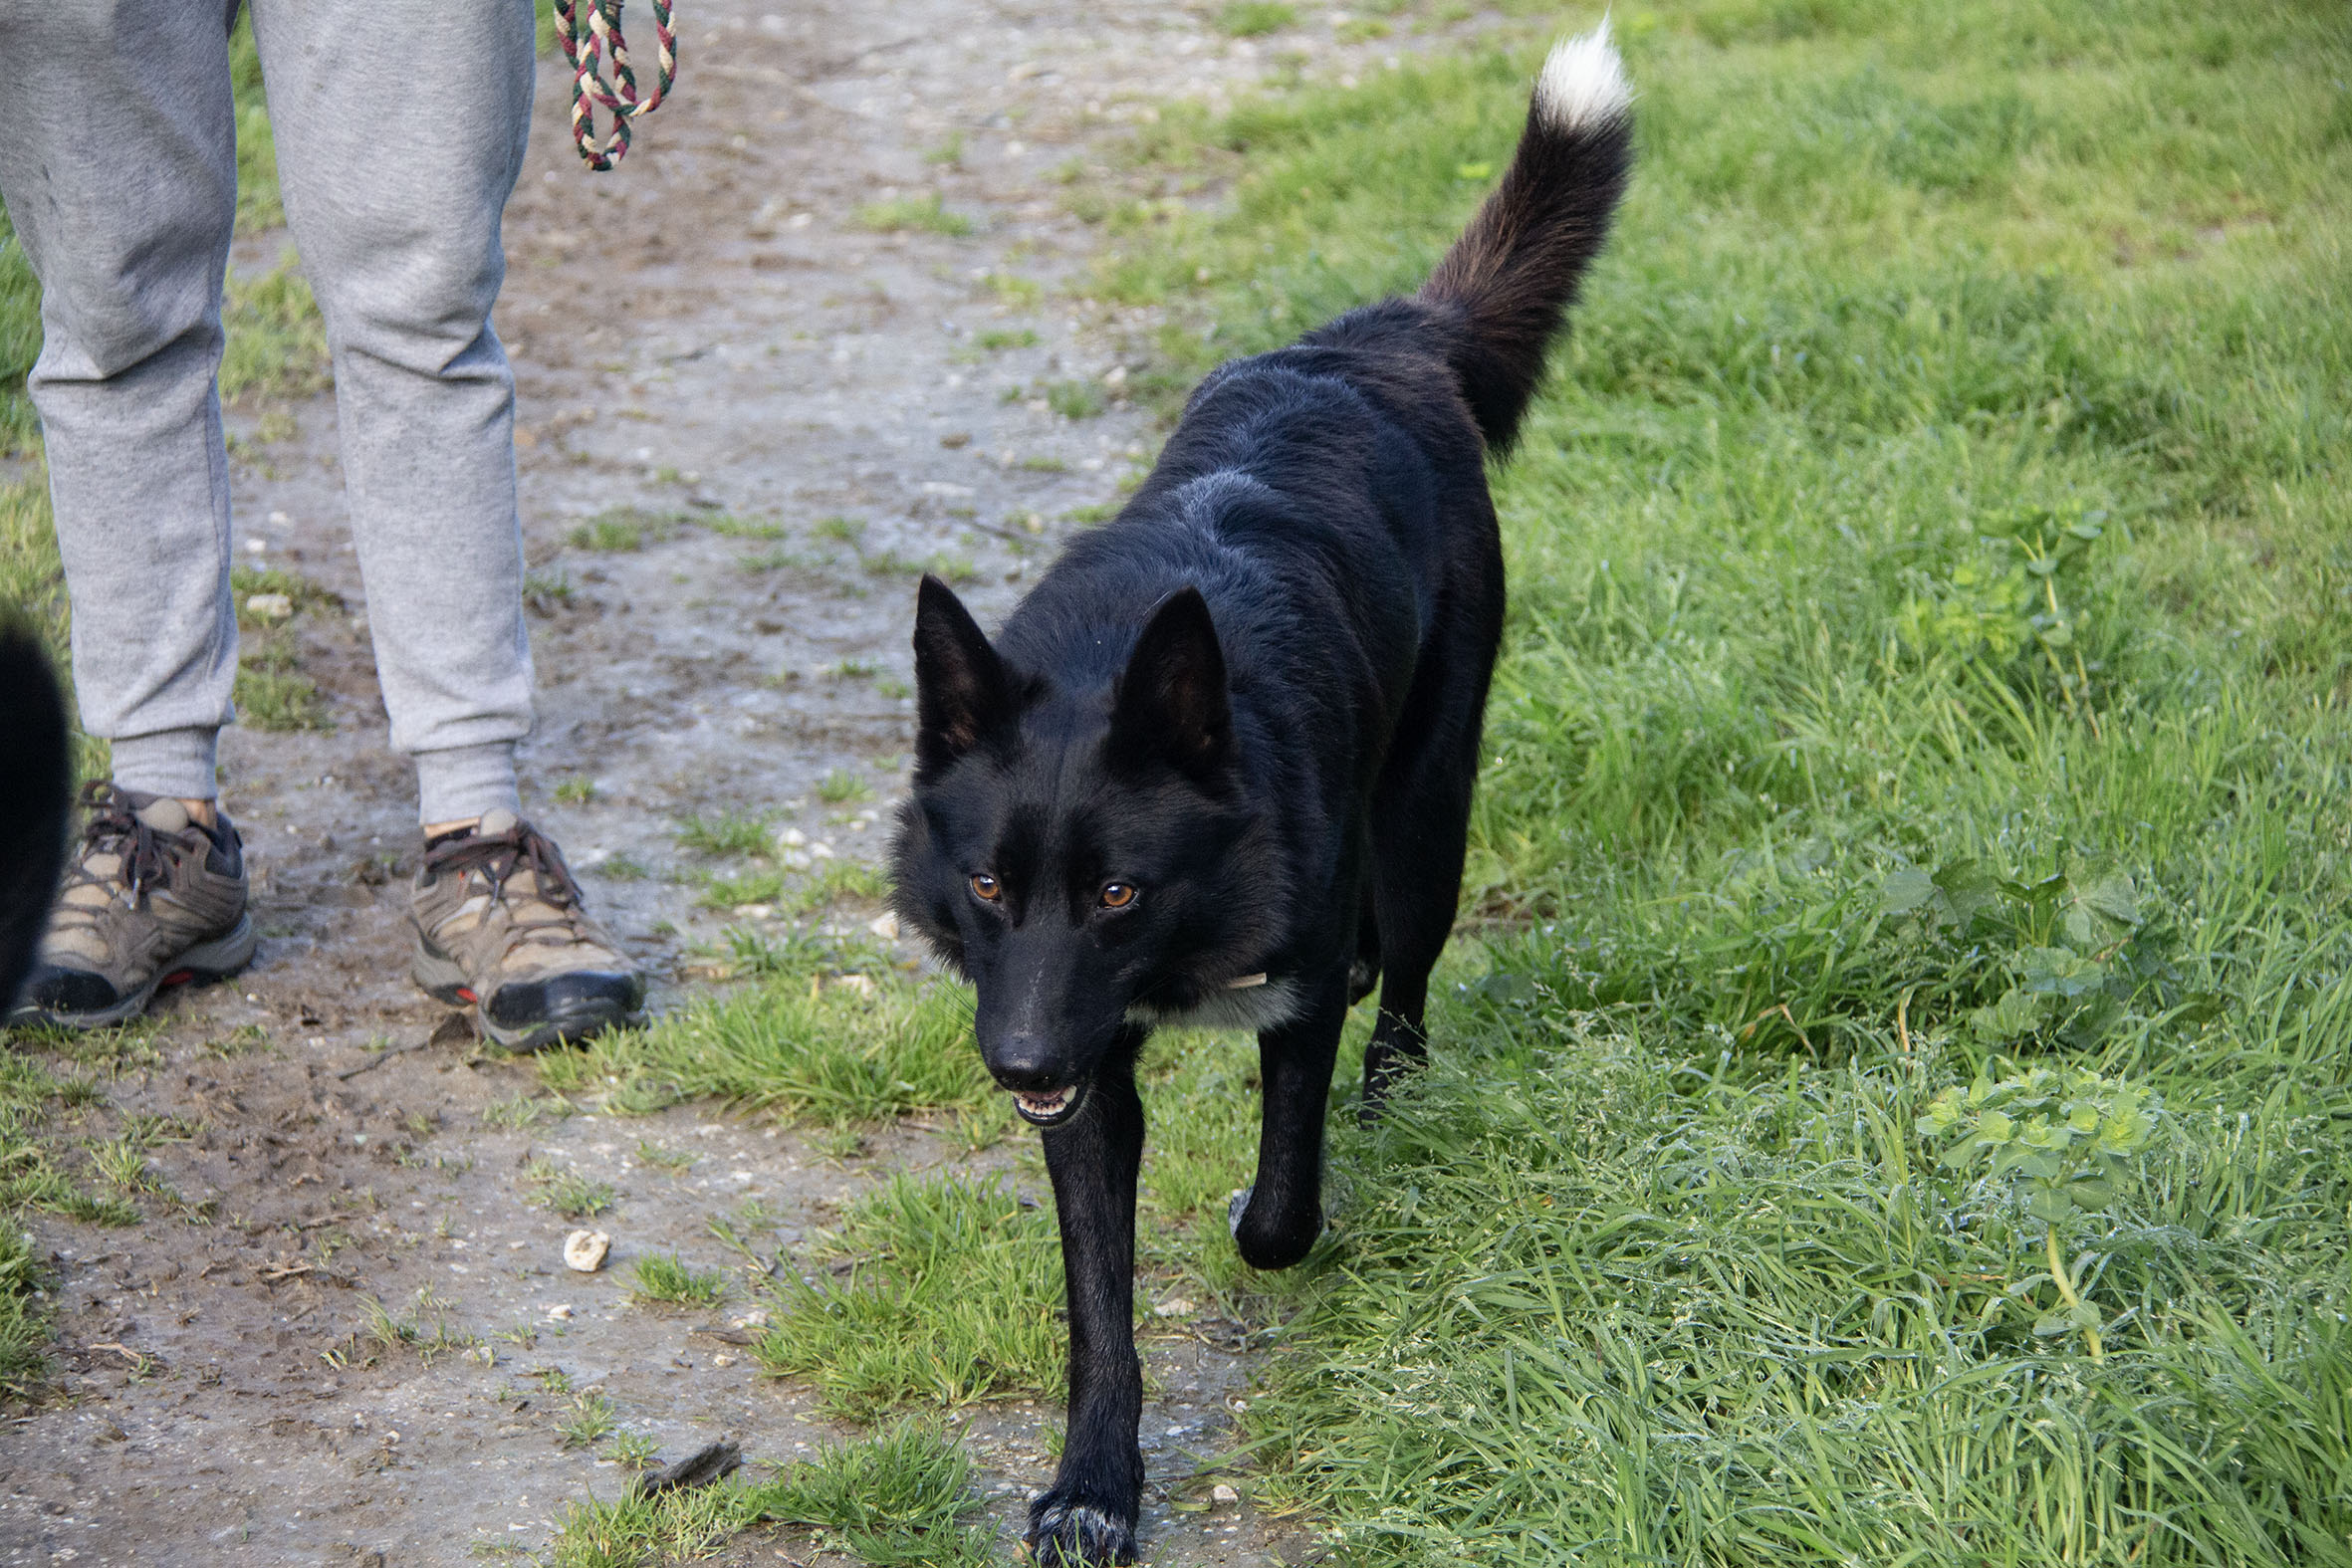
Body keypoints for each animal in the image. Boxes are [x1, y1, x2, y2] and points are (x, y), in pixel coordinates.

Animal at [891, 25, 1632, 1565]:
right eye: (987, 884)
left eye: (1119, 888)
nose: (1018, 1069)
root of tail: (1374, 340)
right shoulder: (1089, 1078)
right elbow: (1098, 1312)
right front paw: (1094, 1485)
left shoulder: (1273, 997)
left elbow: (1279, 1208)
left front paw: (1274, 1195)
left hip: (1428, 808)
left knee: (1404, 964)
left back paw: (1394, 1081)